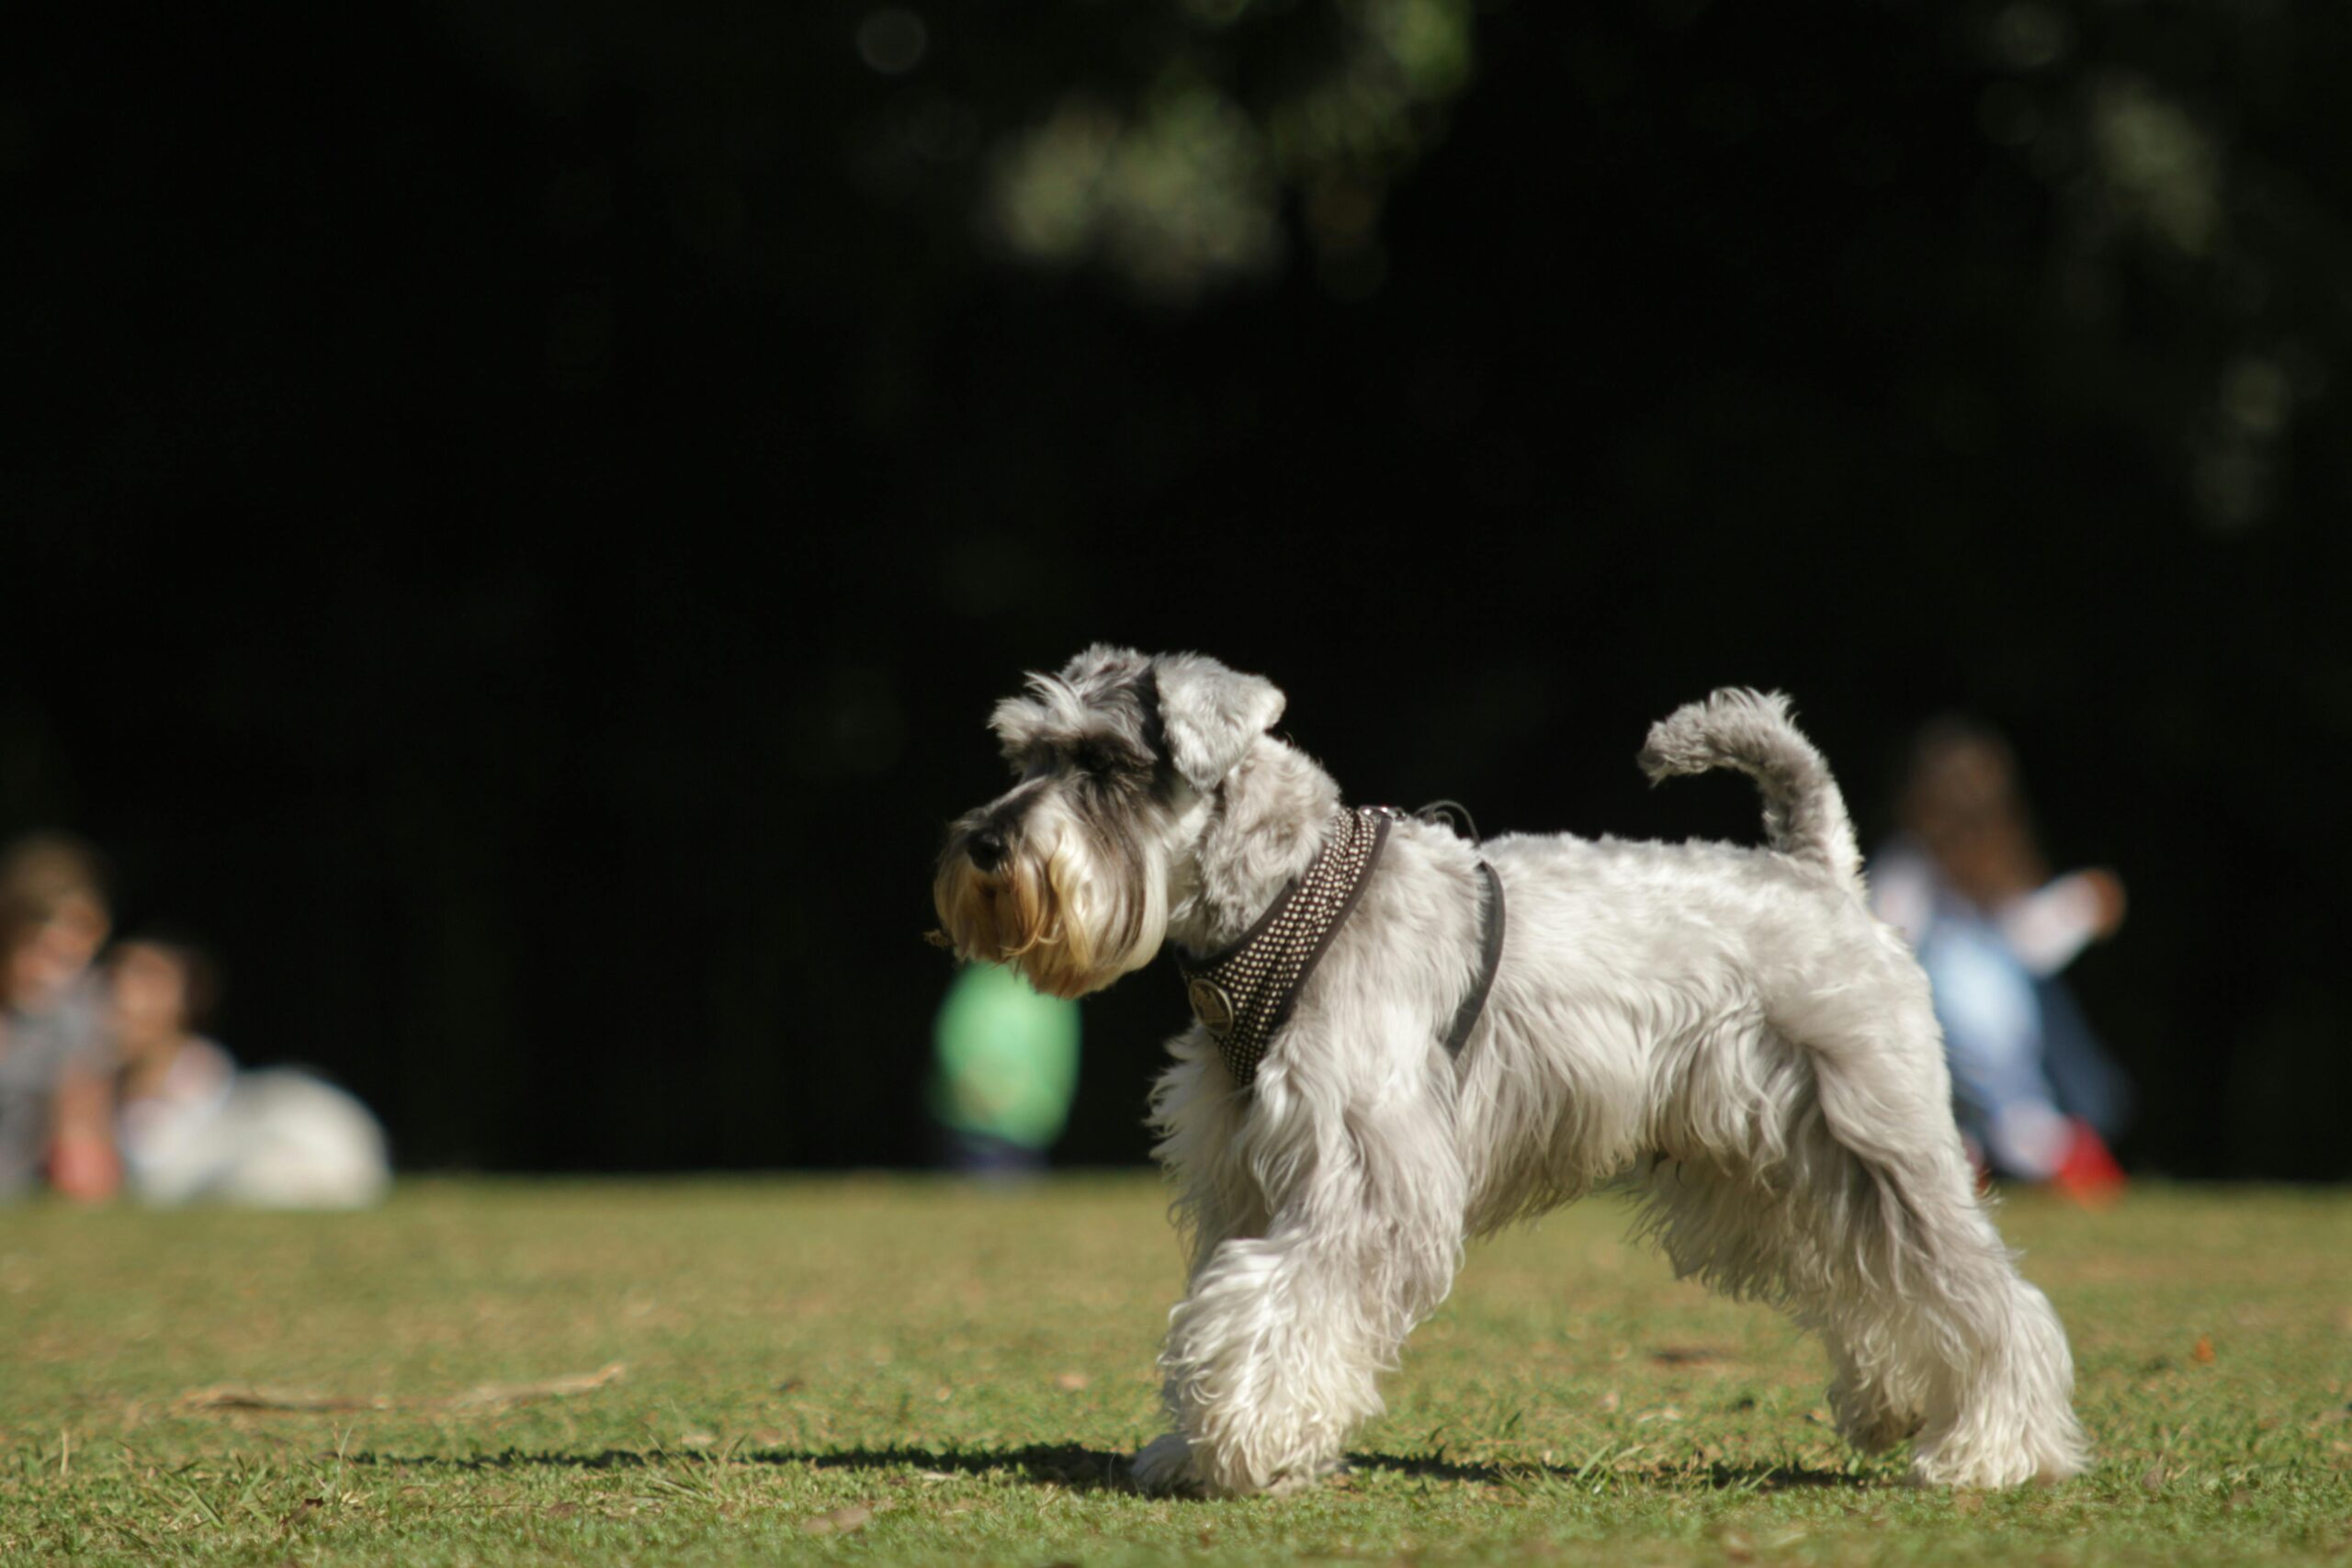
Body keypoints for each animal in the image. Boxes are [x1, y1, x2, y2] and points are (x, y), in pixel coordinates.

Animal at [926, 649, 2088, 1495]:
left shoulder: (1364, 1180)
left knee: (1982, 1290)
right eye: (1022, 755)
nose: (982, 844)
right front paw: (1193, 1443)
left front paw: (1245, 1442)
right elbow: (1226, 1295)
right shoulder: (1247, 1174)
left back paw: (1990, 1450)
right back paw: (1897, 1405)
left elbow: (1273, 1302)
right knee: (1864, 1280)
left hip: (1876, 1140)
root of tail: (1818, 873)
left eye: (1104, 765)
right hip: (1769, 1170)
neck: (1279, 896)